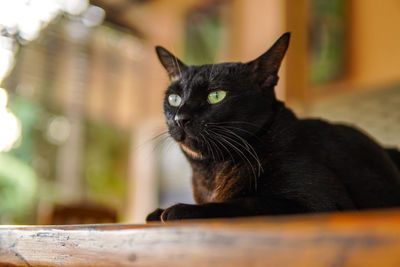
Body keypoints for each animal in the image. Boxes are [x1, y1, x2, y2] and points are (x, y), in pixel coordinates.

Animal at [146, 32, 400, 223]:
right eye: (174, 99)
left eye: (216, 96)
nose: (180, 118)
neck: (211, 171)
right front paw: (156, 212)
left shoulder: (317, 204)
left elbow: (245, 203)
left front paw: (177, 210)